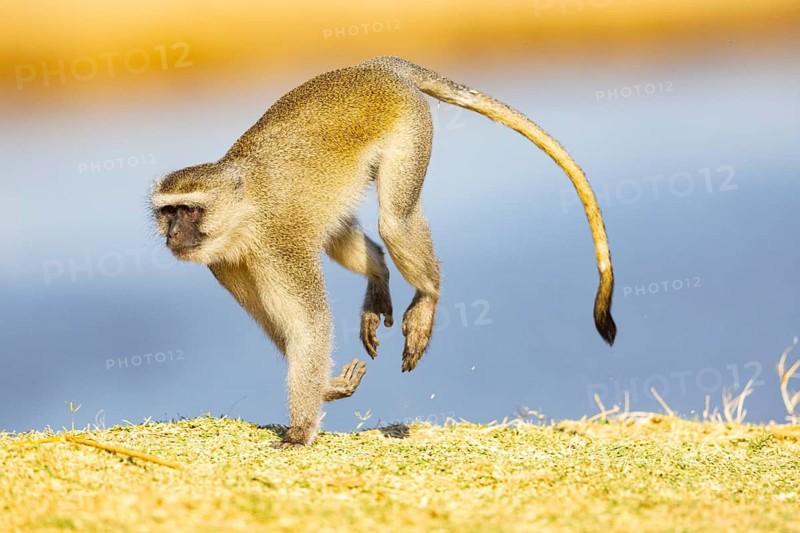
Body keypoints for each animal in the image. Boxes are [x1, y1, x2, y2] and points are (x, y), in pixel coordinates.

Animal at [150, 56, 616, 448]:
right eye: (168, 213)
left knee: (395, 222)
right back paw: (378, 273)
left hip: (410, 124)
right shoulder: (226, 264)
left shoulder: (278, 245)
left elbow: (309, 325)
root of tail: (377, 65)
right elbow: (279, 325)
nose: (173, 234)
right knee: (349, 233)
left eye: (189, 210)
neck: (243, 217)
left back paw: (427, 295)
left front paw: (301, 430)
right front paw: (325, 388)